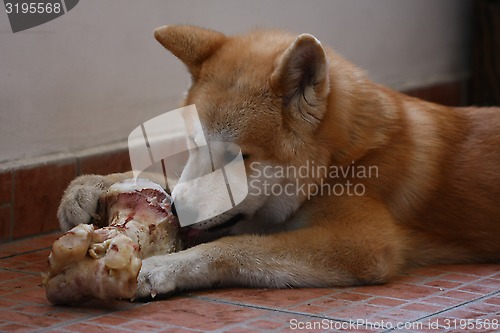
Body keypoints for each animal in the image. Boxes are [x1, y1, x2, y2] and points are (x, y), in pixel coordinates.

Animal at [58, 24, 500, 296]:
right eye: (193, 146)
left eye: (236, 158)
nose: (177, 214)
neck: (342, 160)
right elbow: (158, 180)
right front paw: (88, 188)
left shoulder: (363, 245)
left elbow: (237, 248)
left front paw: (164, 268)